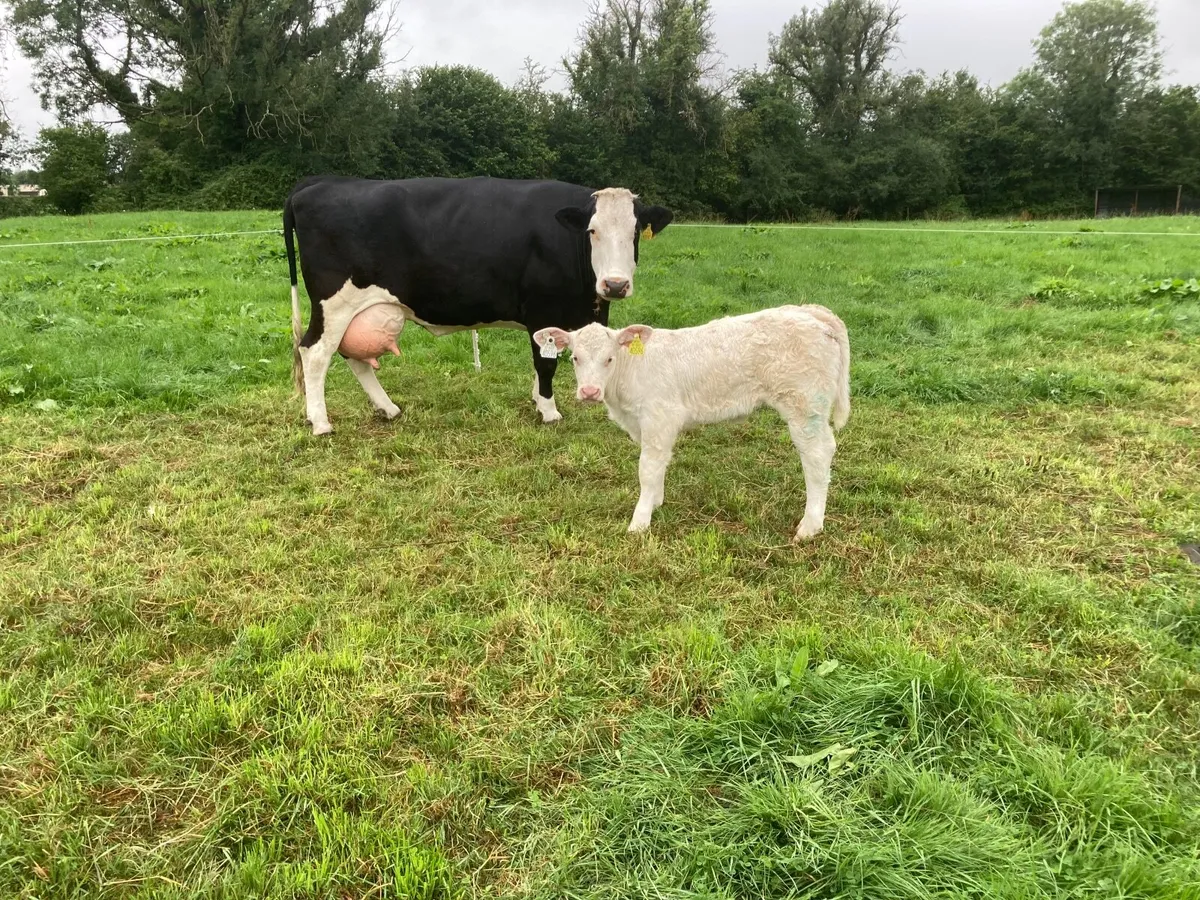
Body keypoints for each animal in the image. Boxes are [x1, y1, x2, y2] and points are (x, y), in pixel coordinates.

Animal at [283, 176, 673, 435]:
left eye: (635, 232)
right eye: (592, 231)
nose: (615, 284)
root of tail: (319, 184)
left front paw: (538, 400)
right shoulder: (541, 309)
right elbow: (545, 364)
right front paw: (549, 411)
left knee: (354, 357)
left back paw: (388, 408)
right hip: (334, 303)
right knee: (314, 353)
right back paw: (320, 422)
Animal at [534, 305, 851, 541]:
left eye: (609, 358)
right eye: (575, 358)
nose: (589, 392)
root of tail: (812, 312)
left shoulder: (660, 417)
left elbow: (647, 469)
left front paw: (639, 522)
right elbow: (660, 464)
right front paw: (656, 501)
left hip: (804, 407)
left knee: (817, 457)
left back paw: (810, 526)